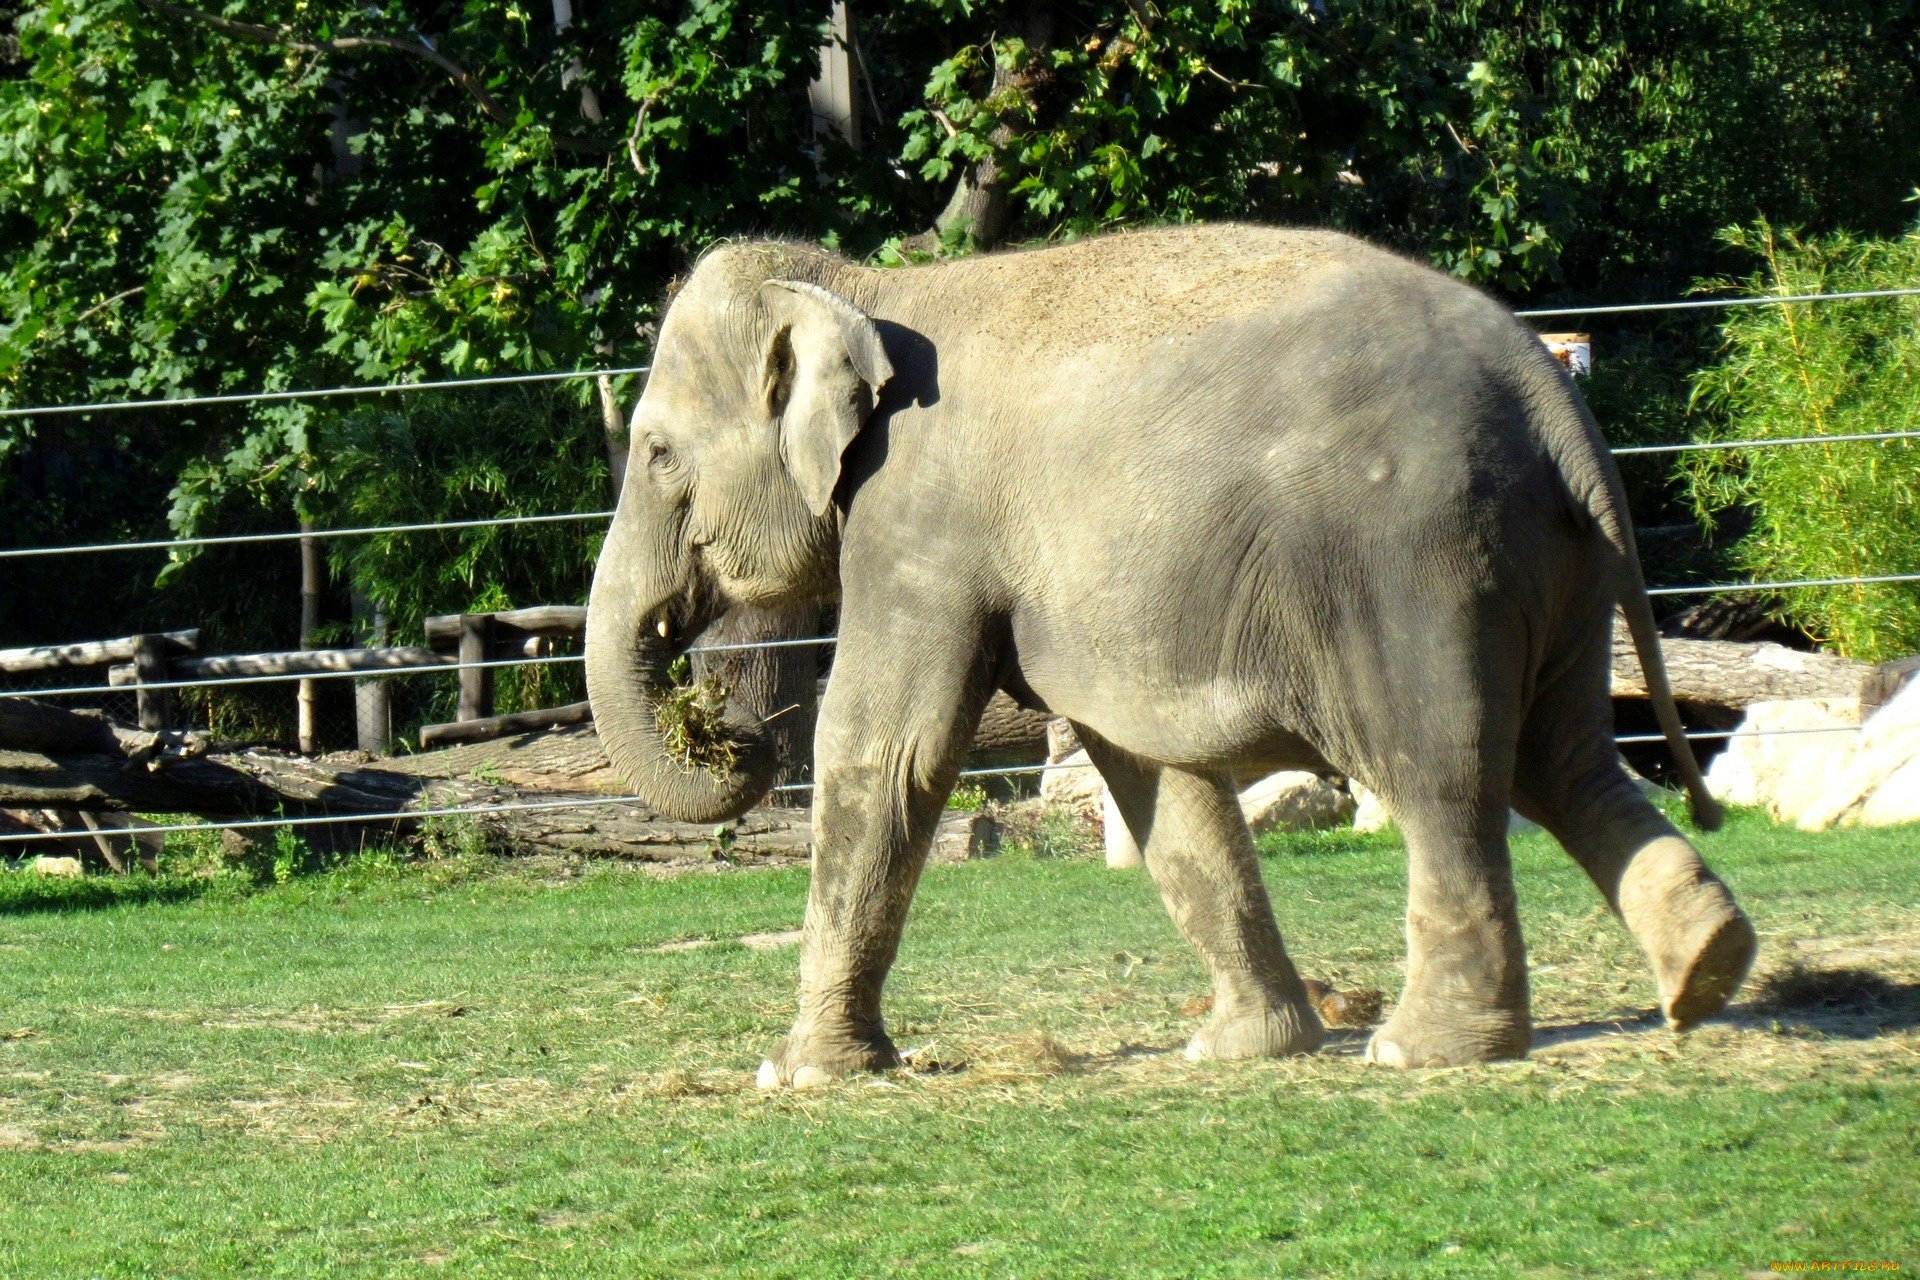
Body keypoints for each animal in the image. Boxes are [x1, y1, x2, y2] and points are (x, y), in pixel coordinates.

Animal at [587, 220, 1758, 1082]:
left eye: (656, 452)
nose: (727, 731)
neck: (857, 283)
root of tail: (1550, 392)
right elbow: (1152, 777)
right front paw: (1238, 1049)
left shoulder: (921, 524)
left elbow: (889, 752)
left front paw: (799, 1074)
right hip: (1542, 563)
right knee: (1567, 760)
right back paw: (1706, 971)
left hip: (1421, 561)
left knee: (1446, 772)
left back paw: (1420, 1051)